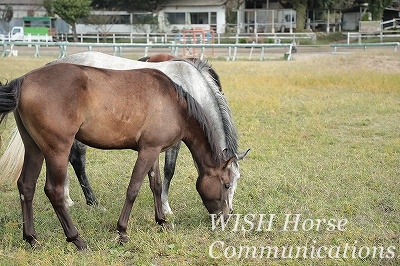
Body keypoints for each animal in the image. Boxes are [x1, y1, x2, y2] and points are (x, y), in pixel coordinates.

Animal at [0, 61, 238, 249]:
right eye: (226, 184)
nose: (226, 216)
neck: (174, 103)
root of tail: (24, 80)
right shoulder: (148, 151)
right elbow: (133, 188)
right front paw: (122, 231)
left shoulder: (152, 150)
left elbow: (156, 185)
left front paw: (161, 221)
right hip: (57, 150)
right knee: (54, 191)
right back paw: (76, 239)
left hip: (34, 148)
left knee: (26, 186)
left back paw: (31, 238)